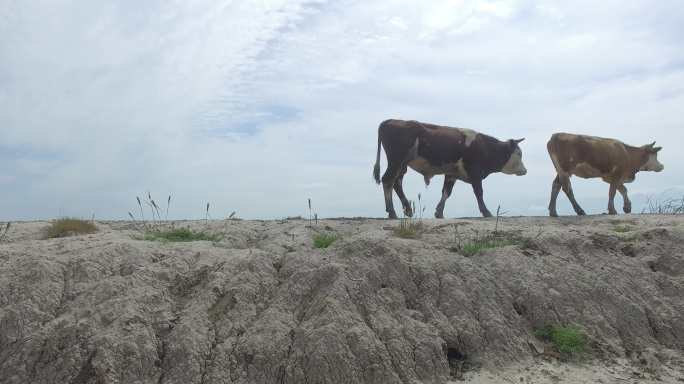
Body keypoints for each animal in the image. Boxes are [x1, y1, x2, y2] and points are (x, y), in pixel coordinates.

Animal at [372, 118, 528, 218]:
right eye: (519, 153)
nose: (525, 171)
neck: (486, 147)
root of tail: (391, 120)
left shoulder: (452, 173)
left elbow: (446, 192)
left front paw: (439, 212)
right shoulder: (475, 172)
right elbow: (479, 192)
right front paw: (486, 212)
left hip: (401, 165)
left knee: (396, 183)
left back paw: (408, 210)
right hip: (396, 161)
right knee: (388, 180)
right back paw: (392, 212)